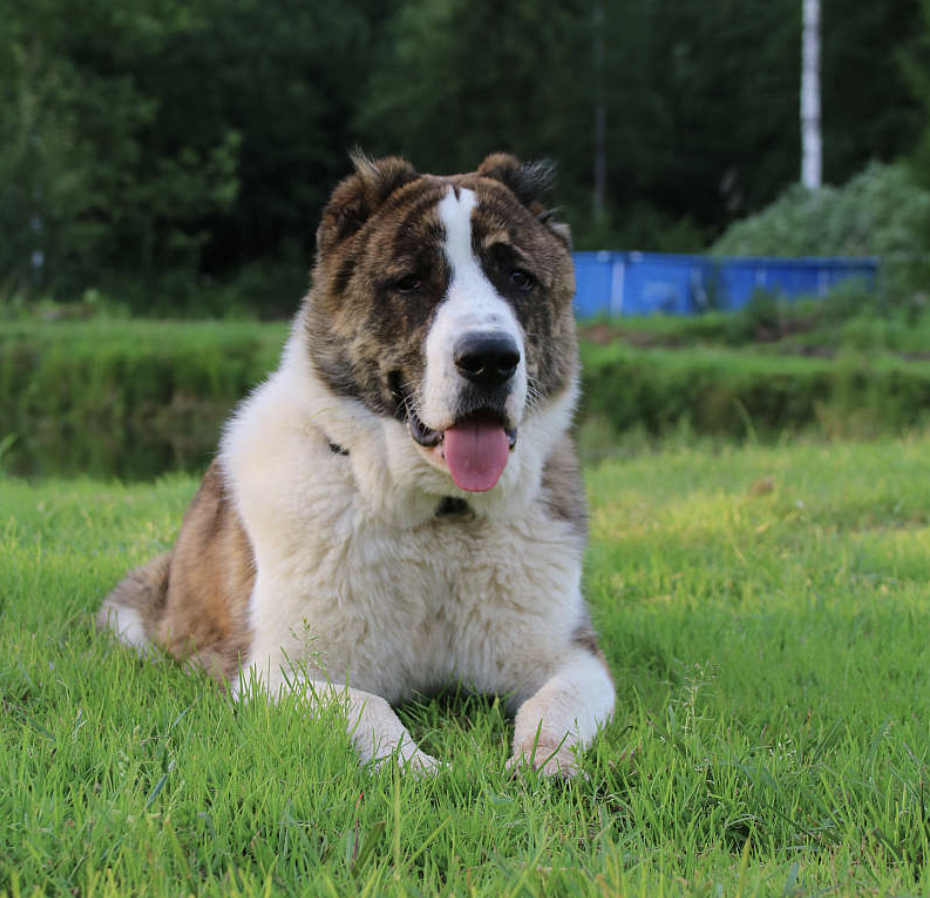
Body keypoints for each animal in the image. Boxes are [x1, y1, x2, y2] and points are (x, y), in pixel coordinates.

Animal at [97, 153, 615, 776]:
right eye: (409, 281)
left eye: (519, 278)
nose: (490, 359)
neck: (438, 517)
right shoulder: (272, 673)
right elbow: (364, 706)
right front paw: (417, 769)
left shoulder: (576, 658)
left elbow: (554, 706)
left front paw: (546, 764)